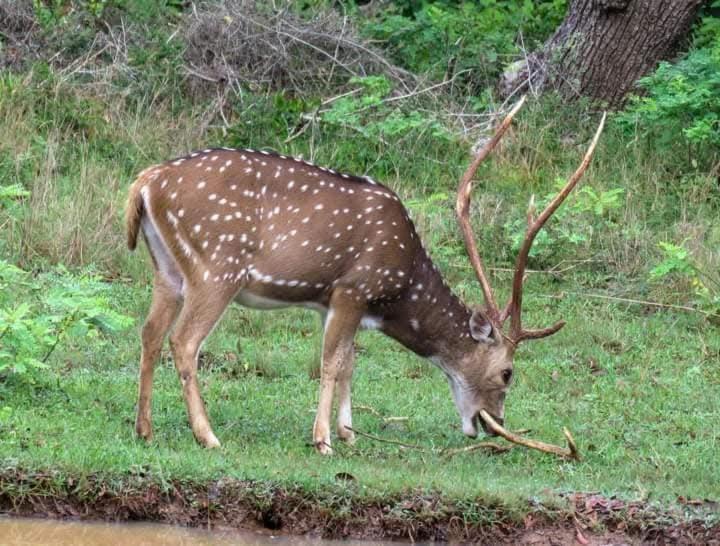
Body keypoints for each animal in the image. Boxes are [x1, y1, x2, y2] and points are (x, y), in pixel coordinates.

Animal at [126, 96, 604, 450]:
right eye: (508, 372)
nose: (491, 425)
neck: (399, 290)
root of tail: (146, 182)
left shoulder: (332, 300)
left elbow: (350, 362)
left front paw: (348, 433)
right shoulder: (353, 288)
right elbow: (331, 362)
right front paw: (323, 441)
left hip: (166, 267)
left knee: (149, 332)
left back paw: (144, 428)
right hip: (218, 266)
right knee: (184, 341)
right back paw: (207, 436)